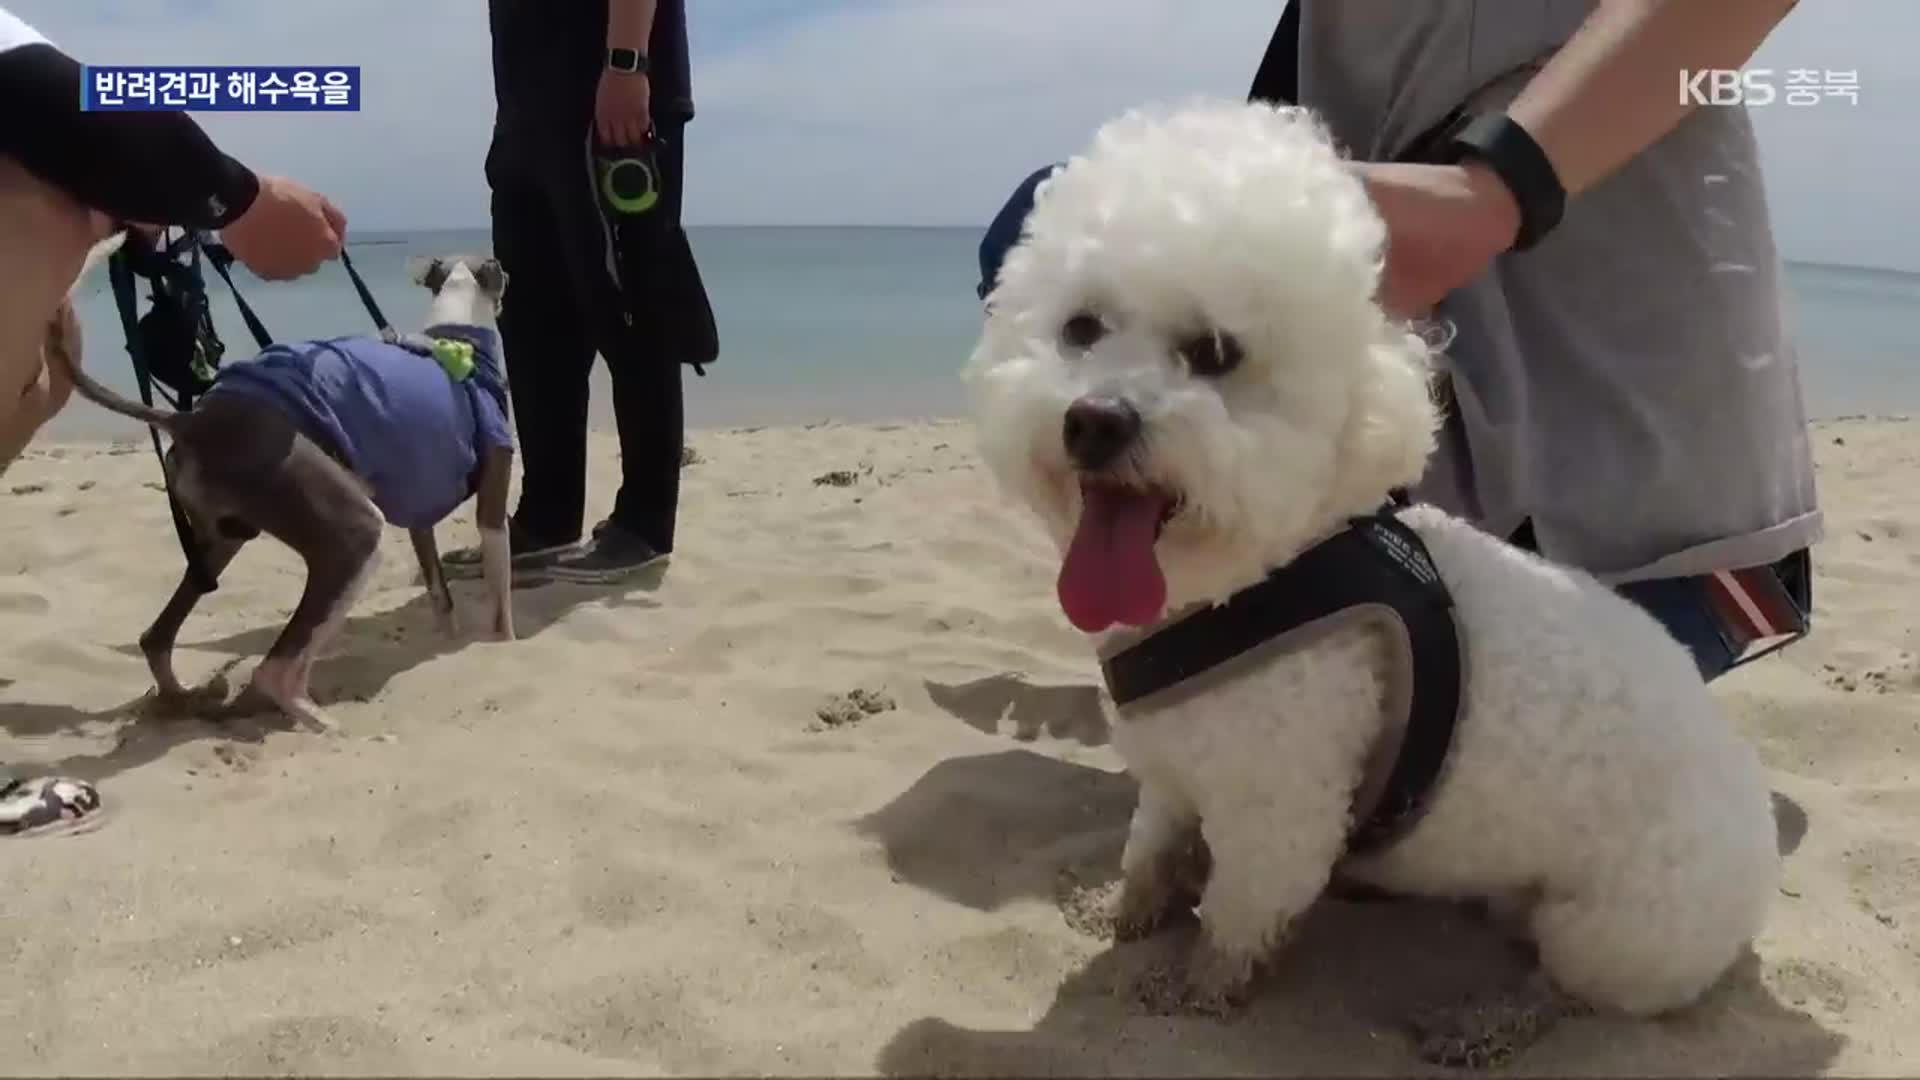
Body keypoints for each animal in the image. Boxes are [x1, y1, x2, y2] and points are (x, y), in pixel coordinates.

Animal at [967, 98, 1774, 1053]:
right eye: (1081, 329)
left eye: (1215, 352)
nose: (1094, 420)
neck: (1244, 586)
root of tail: (1756, 829)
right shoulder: (1170, 776)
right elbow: (1150, 853)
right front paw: (1119, 913)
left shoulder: (1281, 816)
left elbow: (1237, 915)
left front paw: (1196, 990)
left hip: (1615, 927)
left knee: (1571, 988)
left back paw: (1485, 1023)